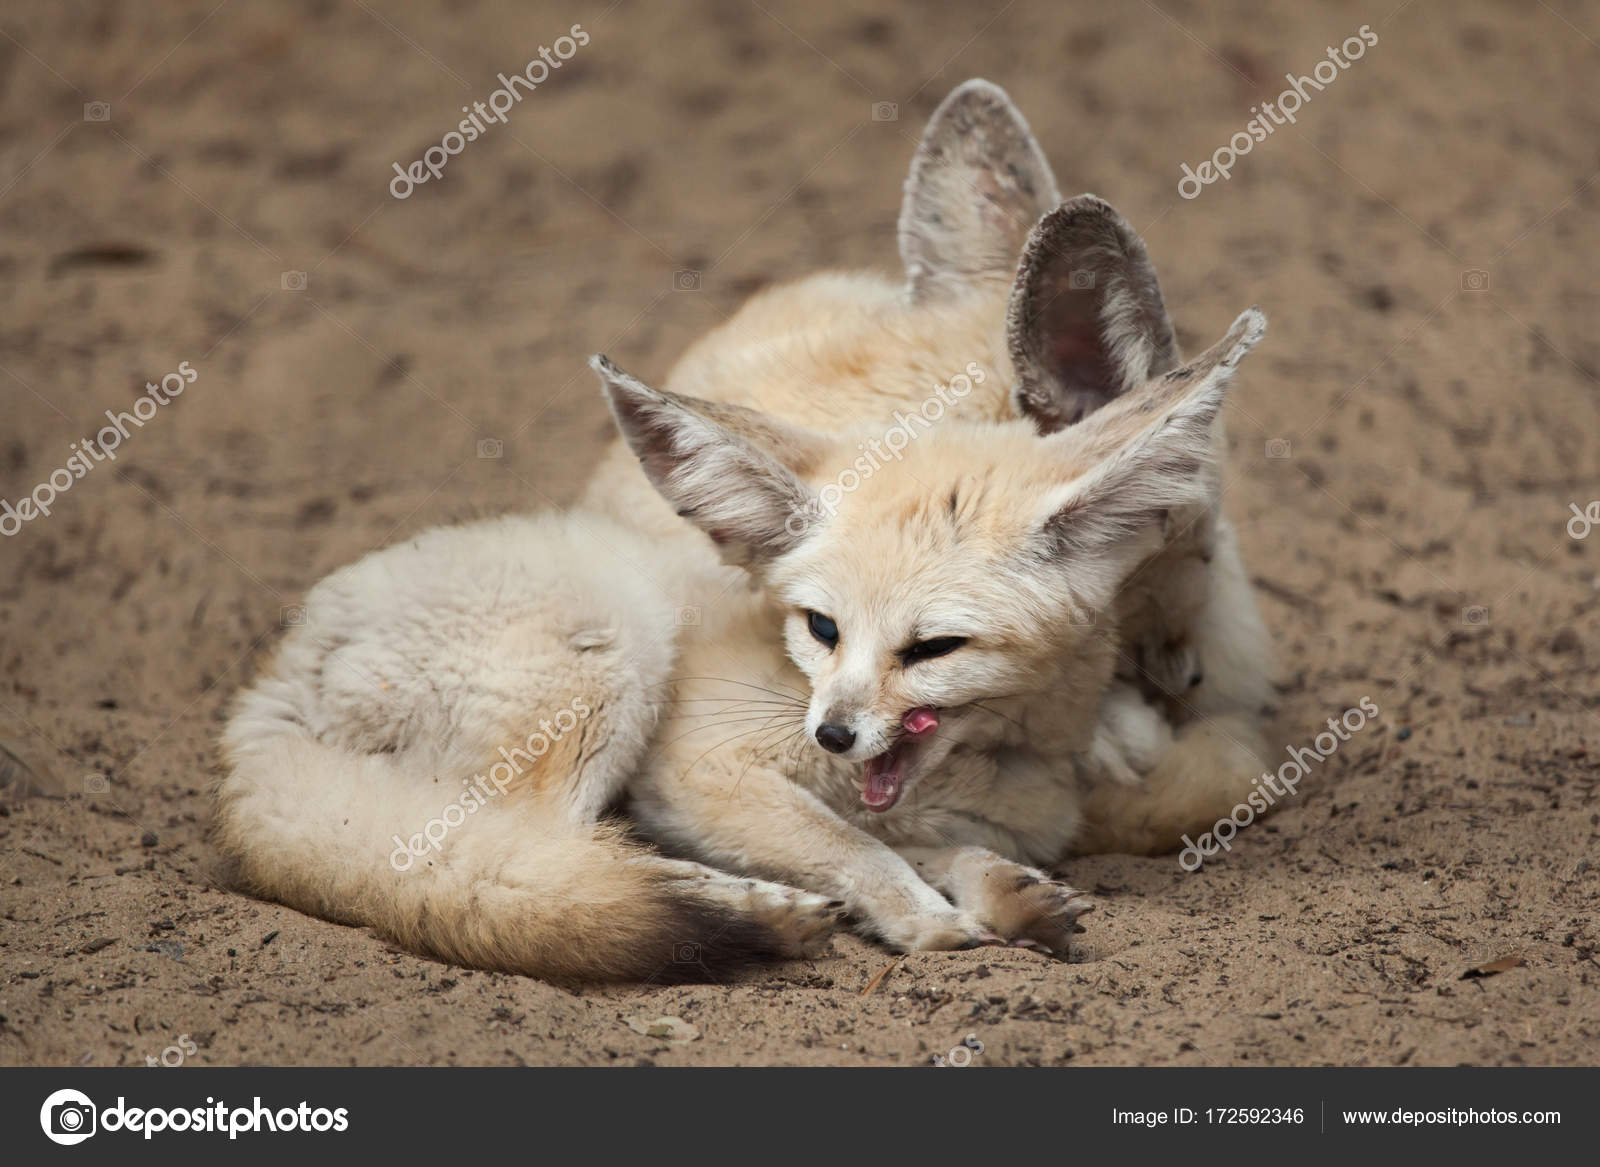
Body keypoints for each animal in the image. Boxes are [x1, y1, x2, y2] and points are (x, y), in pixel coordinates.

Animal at [215, 79, 1273, 980]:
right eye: (820, 627)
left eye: (934, 647)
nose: (833, 732)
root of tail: (263, 693)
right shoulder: (704, 766)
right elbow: (851, 844)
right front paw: (926, 914)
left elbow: (934, 837)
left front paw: (999, 886)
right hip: (617, 643)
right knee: (526, 850)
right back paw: (739, 911)